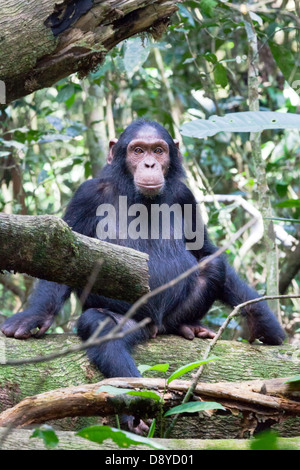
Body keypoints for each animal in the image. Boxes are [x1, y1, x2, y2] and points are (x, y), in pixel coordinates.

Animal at [0, 120, 286, 434]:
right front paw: (33, 317)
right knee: (102, 328)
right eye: (138, 151)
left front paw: (262, 321)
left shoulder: (186, 197)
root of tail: (156, 326)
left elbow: (206, 250)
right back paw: (134, 408)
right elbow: (62, 255)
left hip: (169, 316)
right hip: (132, 322)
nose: (150, 163)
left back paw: (188, 327)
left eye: (158, 151)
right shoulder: (87, 196)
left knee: (211, 266)